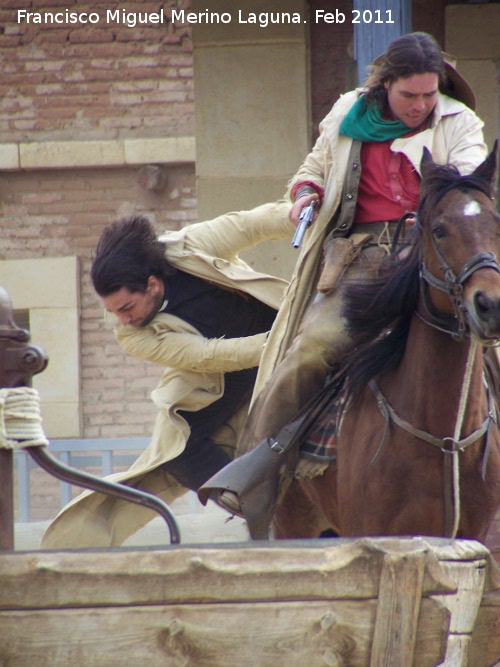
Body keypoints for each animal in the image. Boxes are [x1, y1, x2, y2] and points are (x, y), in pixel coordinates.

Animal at [276, 145, 500, 544]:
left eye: (498, 225)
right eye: (439, 230)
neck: (444, 437)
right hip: (292, 524)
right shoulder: (369, 531)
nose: (490, 305)